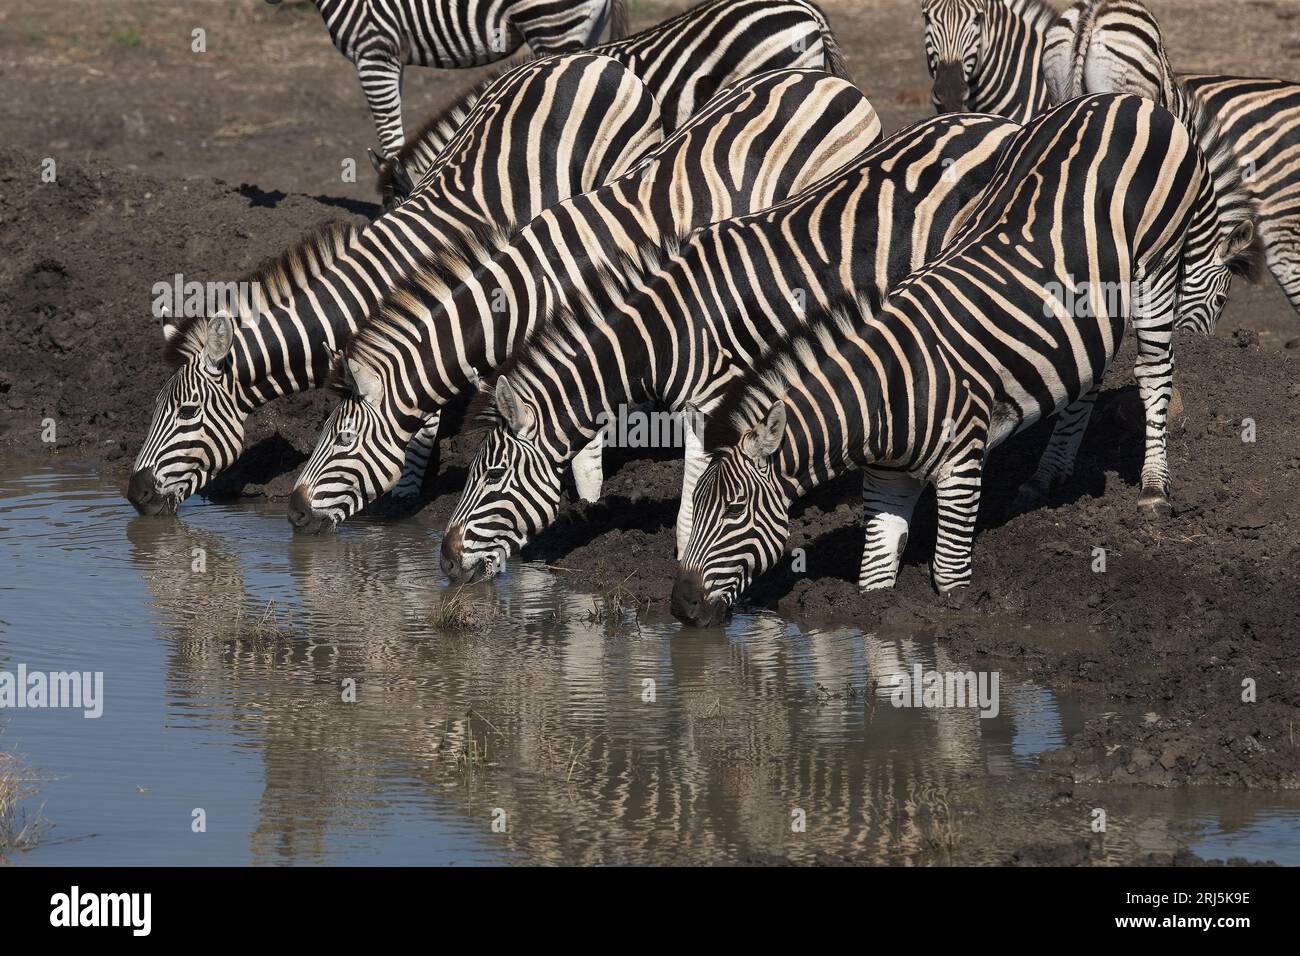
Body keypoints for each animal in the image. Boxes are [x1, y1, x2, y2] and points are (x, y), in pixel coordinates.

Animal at [128, 54, 662, 517]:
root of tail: (588, 59)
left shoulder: (431, 323)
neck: (364, 298)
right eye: (154, 409)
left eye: (187, 413)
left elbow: (421, 412)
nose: (134, 495)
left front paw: (405, 492)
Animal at [287, 69, 882, 533]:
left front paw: (588, 503)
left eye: (340, 440)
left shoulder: (592, 339)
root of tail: (830, 80)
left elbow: (584, 438)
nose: (292, 513)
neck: (521, 297)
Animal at [439, 113, 1023, 583]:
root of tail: (996, 121)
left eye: (490, 477)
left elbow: (697, 492)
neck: (671, 327)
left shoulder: (715, 399)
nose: (443, 560)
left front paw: (687, 558)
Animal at [670, 92, 1255, 627]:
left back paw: (1154, 491)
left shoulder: (961, 466)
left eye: (733, 511)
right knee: (1083, 381)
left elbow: (950, 580)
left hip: (1157, 265)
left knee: (1154, 375)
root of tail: (1127, 98)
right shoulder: (886, 482)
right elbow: (875, 583)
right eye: (697, 508)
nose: (682, 609)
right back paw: (1047, 477)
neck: (887, 390)